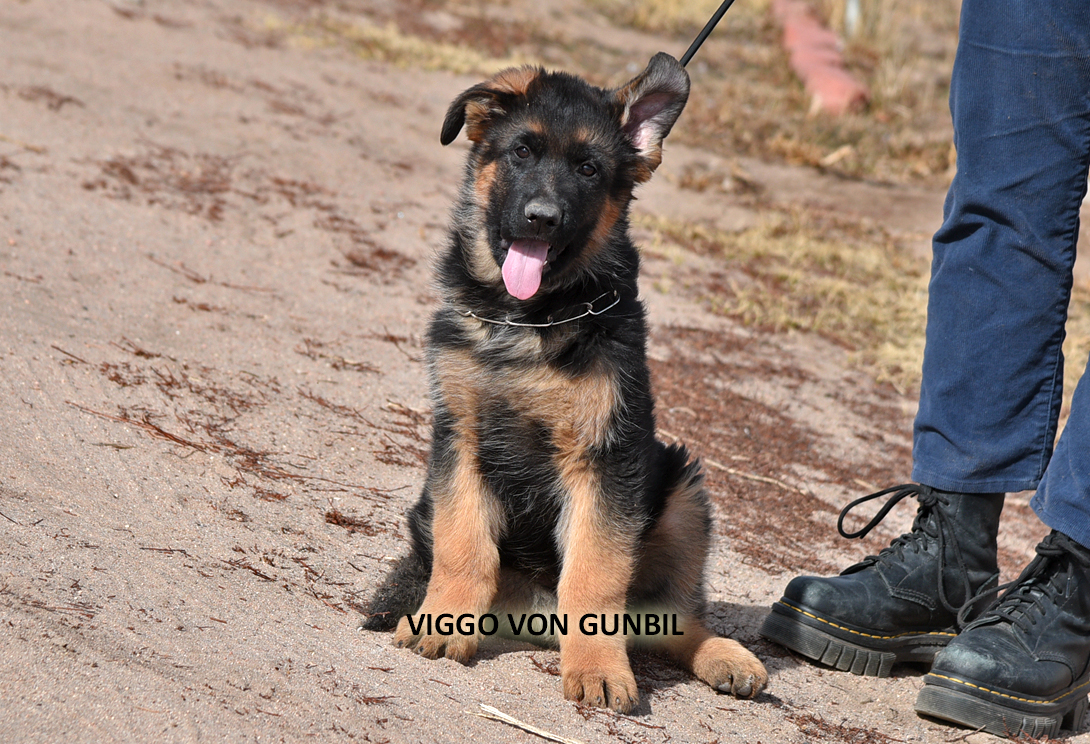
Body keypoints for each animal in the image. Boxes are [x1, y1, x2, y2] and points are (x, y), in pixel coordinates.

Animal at [363, 53, 768, 712]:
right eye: (522, 152)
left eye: (588, 168)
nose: (541, 219)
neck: (528, 319)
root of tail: (536, 617)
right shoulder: (460, 441)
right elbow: (463, 545)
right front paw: (444, 621)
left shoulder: (606, 461)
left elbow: (594, 575)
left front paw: (598, 668)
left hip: (681, 494)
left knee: (671, 618)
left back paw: (723, 656)